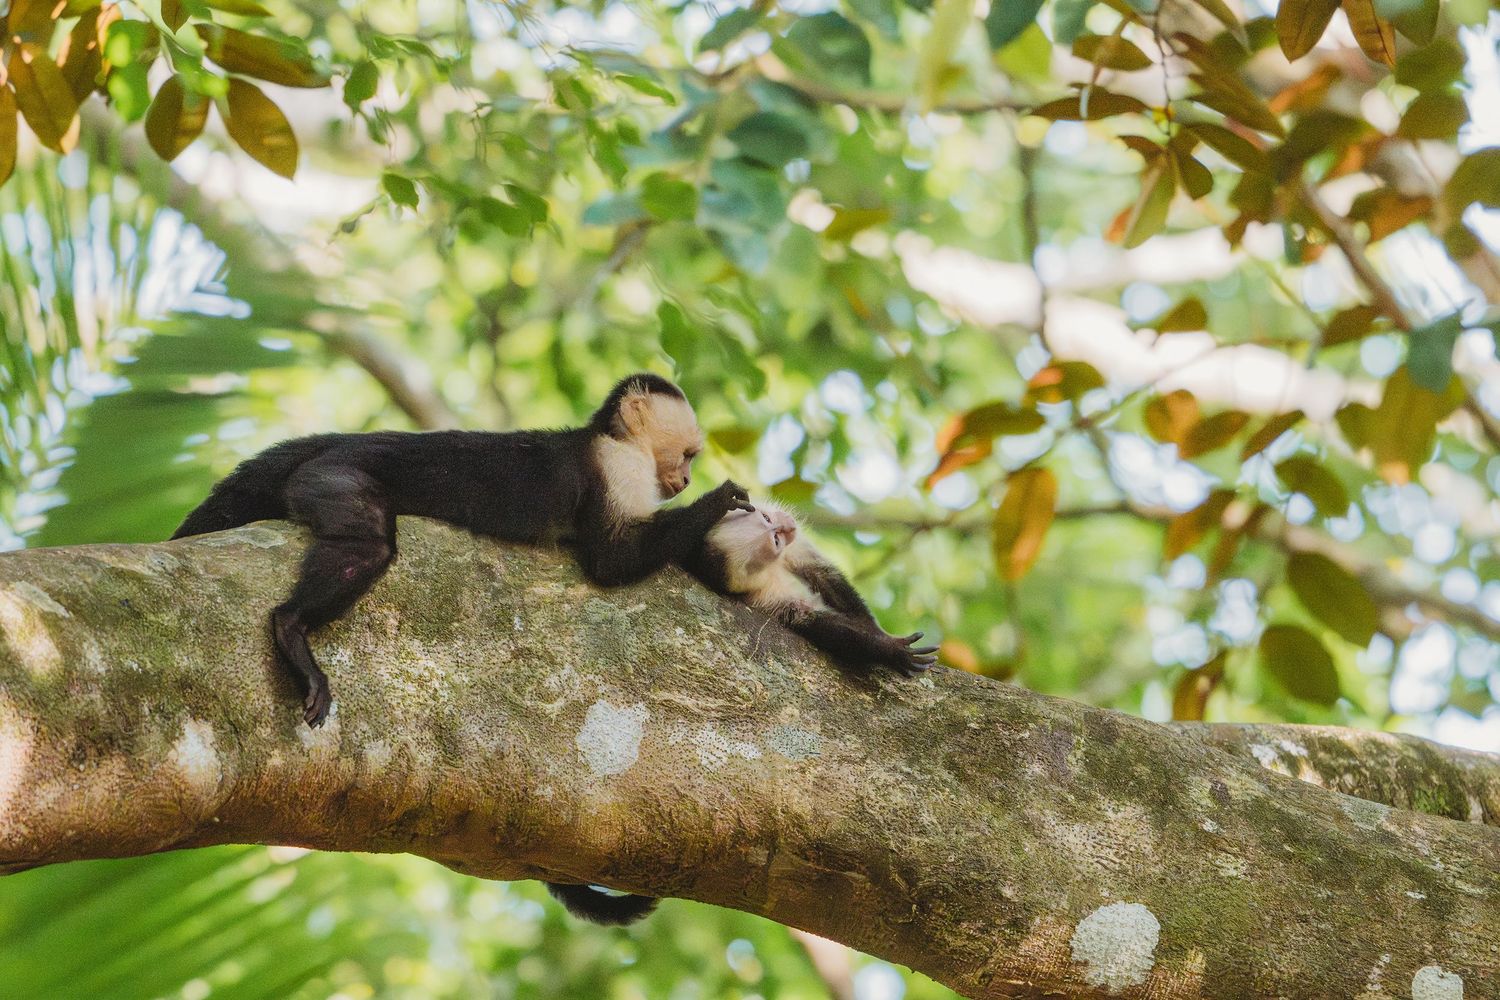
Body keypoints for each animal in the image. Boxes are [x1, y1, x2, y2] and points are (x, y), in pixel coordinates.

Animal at [683, 500, 938, 675]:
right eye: (775, 540)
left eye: (766, 518)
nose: (786, 526)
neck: (771, 569)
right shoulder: (764, 598)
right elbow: (815, 622)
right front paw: (887, 648)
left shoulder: (795, 551)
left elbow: (822, 573)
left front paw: (875, 630)